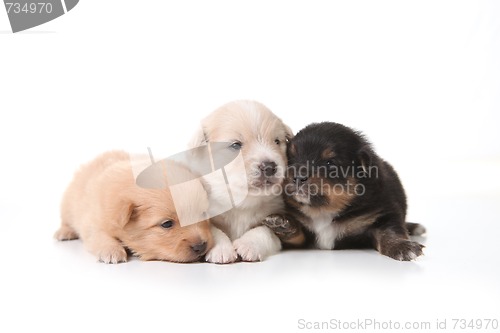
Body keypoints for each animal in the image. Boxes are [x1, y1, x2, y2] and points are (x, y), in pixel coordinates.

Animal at [54, 150, 213, 262]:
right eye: (167, 224)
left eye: (203, 214)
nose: (201, 246)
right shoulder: (92, 221)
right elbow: (99, 236)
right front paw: (112, 251)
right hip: (67, 205)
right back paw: (64, 232)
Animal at [190, 100, 292, 264]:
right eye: (236, 145)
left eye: (277, 141)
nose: (269, 167)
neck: (242, 201)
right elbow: (213, 230)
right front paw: (222, 249)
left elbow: (264, 230)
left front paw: (248, 245)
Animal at [264, 122, 424, 260]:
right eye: (290, 158)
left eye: (330, 163)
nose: (298, 177)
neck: (323, 212)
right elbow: (297, 234)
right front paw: (282, 224)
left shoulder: (384, 212)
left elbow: (390, 232)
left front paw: (403, 247)